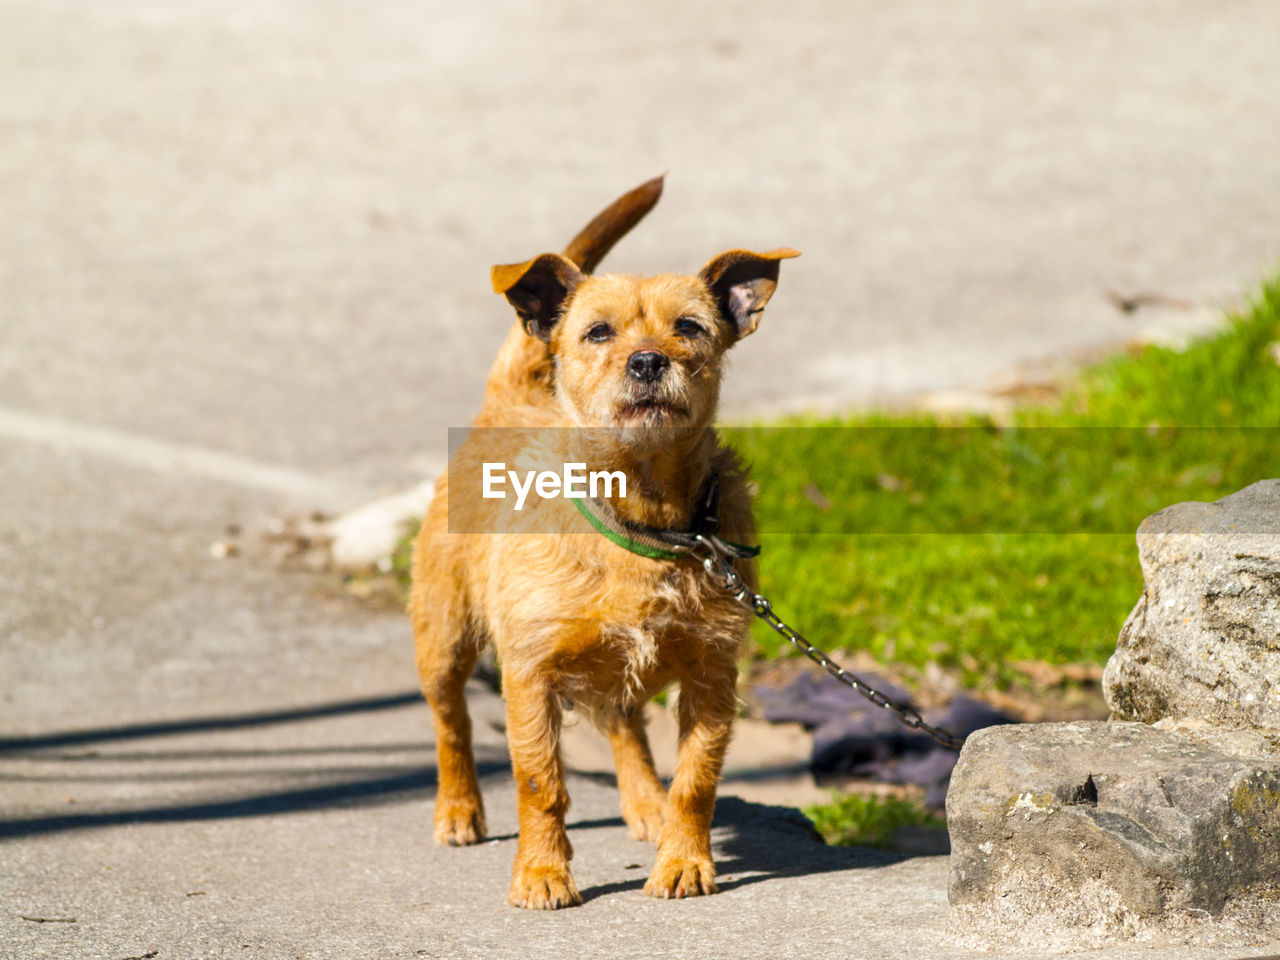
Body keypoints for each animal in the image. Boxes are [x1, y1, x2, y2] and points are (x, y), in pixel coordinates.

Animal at [409, 179, 793, 911]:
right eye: (598, 332)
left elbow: (696, 779)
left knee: (624, 724)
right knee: (451, 723)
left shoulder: (712, 677)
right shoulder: (529, 673)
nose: (647, 360)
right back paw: (458, 808)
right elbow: (540, 781)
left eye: (689, 328)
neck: (642, 517)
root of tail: (507, 402)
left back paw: (645, 804)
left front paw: (683, 860)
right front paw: (542, 872)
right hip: (444, 639)